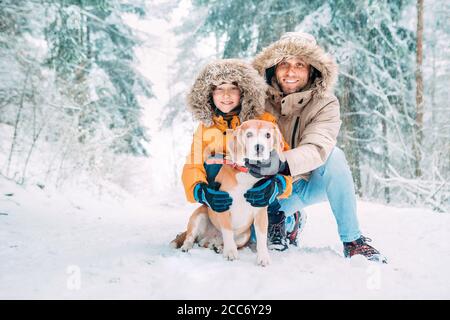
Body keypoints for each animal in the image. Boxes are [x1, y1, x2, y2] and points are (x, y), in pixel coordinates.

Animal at [171, 119, 286, 266]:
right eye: (249, 134)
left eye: (268, 135)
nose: (259, 147)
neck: (246, 173)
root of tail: (210, 237)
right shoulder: (224, 206)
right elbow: (227, 231)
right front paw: (230, 253)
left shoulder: (260, 210)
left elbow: (261, 237)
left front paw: (263, 258)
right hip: (199, 217)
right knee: (190, 237)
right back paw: (187, 246)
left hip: (245, 235)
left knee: (214, 243)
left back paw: (218, 247)